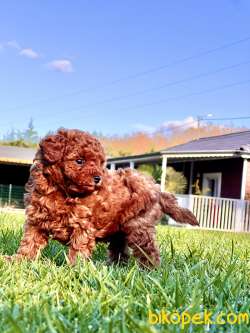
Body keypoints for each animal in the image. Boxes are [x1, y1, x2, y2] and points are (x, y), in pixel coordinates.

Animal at [12, 128, 198, 266]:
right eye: (79, 161)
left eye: (100, 163)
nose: (98, 178)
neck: (60, 190)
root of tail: (157, 189)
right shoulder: (36, 219)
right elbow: (29, 242)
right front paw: (18, 261)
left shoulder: (83, 224)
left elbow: (79, 246)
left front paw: (73, 269)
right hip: (119, 229)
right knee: (120, 250)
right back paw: (114, 267)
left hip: (139, 225)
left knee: (148, 250)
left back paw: (148, 271)